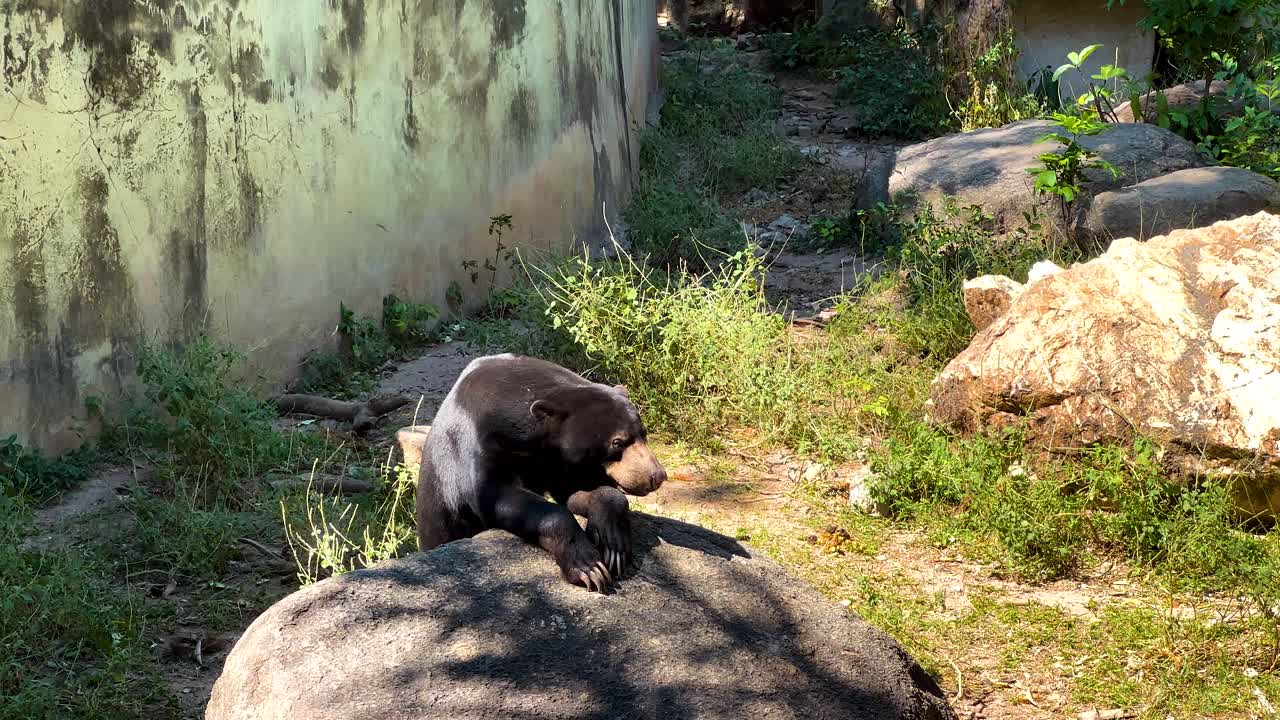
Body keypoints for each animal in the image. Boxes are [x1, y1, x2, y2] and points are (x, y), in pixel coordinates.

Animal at [415, 353, 667, 593]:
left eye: (644, 434)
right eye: (617, 442)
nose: (656, 476)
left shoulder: (558, 460)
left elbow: (576, 490)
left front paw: (613, 544)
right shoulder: (478, 443)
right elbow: (496, 496)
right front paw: (589, 568)